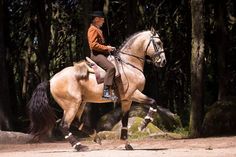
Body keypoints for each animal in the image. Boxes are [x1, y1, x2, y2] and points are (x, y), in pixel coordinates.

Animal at [27, 28, 166, 151]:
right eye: (158, 43)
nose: (163, 62)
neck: (129, 64)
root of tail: (51, 80)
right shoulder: (133, 94)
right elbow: (153, 102)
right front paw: (144, 124)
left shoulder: (127, 100)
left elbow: (125, 121)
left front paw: (127, 144)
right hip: (72, 104)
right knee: (63, 125)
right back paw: (79, 146)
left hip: (80, 103)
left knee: (75, 122)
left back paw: (95, 137)